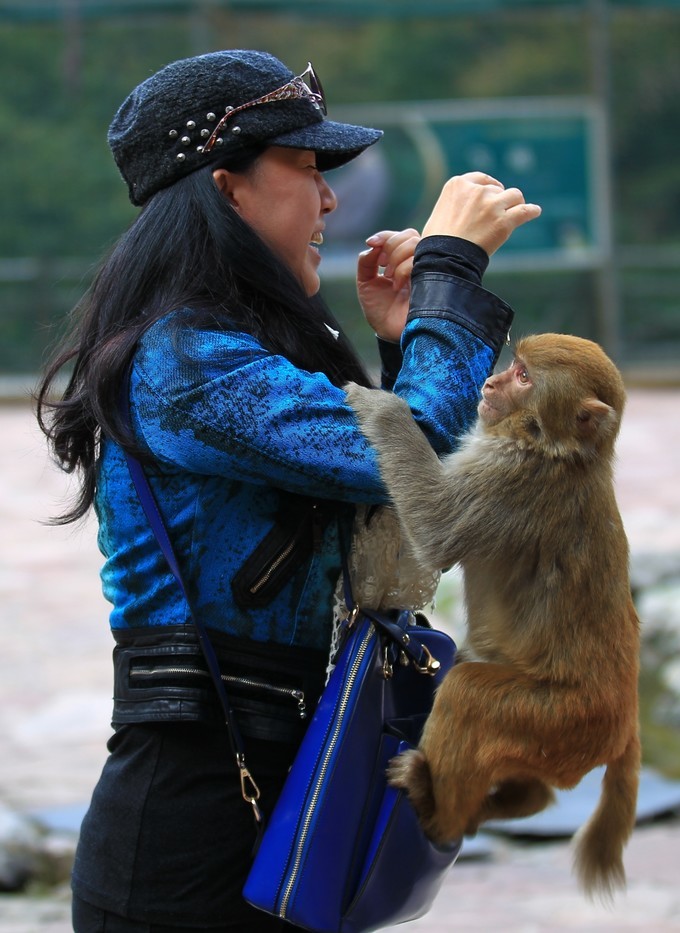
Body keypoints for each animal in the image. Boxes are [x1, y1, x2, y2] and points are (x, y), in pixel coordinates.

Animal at [348, 332, 640, 900]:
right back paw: (521, 802)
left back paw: (439, 814)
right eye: (515, 364)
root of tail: (624, 718)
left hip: (559, 720)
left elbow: (437, 529)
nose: (489, 383)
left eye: (524, 376)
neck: (560, 452)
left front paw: (383, 407)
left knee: (467, 696)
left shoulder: (512, 479)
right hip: (558, 739)